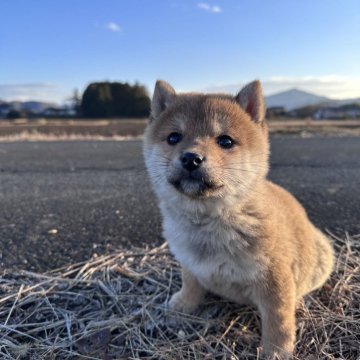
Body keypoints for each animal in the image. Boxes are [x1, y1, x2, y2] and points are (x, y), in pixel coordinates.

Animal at [142, 79, 334, 358]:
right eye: (173, 137)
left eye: (225, 141)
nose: (191, 158)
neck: (209, 223)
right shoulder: (190, 262)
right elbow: (190, 283)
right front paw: (184, 304)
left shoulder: (274, 279)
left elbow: (278, 321)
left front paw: (276, 351)